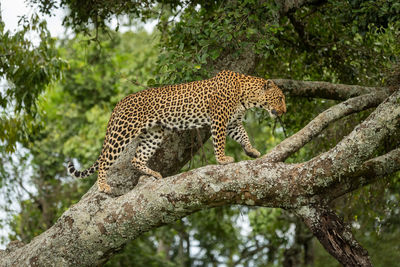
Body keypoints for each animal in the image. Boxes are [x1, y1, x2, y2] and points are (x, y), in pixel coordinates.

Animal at [69, 70, 288, 194]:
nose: (285, 111)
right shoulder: (219, 119)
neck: (248, 96)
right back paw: (103, 185)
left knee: (136, 158)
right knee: (105, 159)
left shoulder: (233, 122)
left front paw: (251, 151)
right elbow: (219, 141)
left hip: (153, 134)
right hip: (123, 132)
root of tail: (119, 103)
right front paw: (223, 159)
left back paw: (153, 173)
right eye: (279, 98)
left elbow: (243, 135)